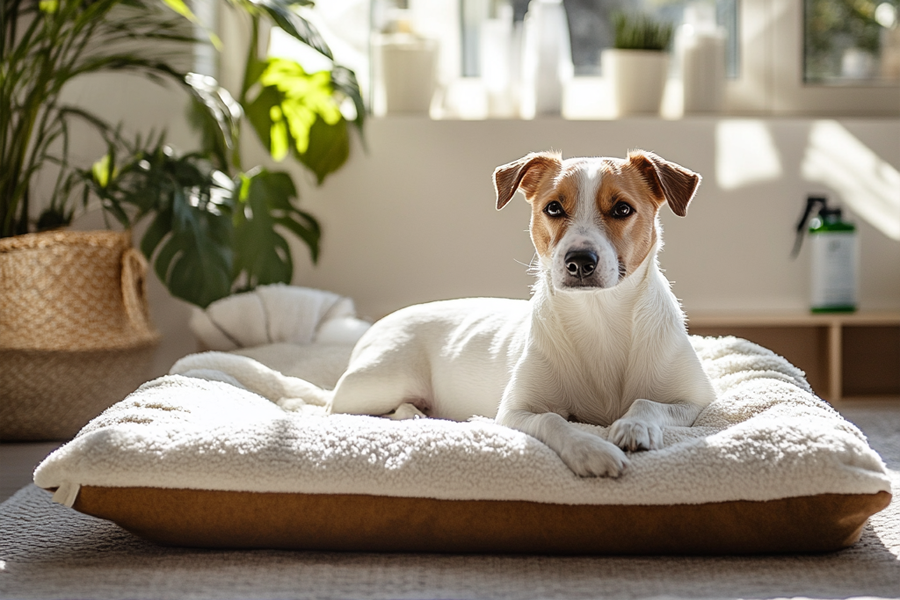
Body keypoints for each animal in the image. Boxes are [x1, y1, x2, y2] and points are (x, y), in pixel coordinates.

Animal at [312, 151, 712, 478]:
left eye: (623, 209)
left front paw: (633, 428)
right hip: (376, 385)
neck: (598, 315)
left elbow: (647, 403)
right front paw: (590, 449)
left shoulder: (698, 399)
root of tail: (377, 324)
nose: (579, 261)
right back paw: (413, 415)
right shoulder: (515, 412)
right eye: (553, 208)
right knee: (336, 408)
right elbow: (554, 420)